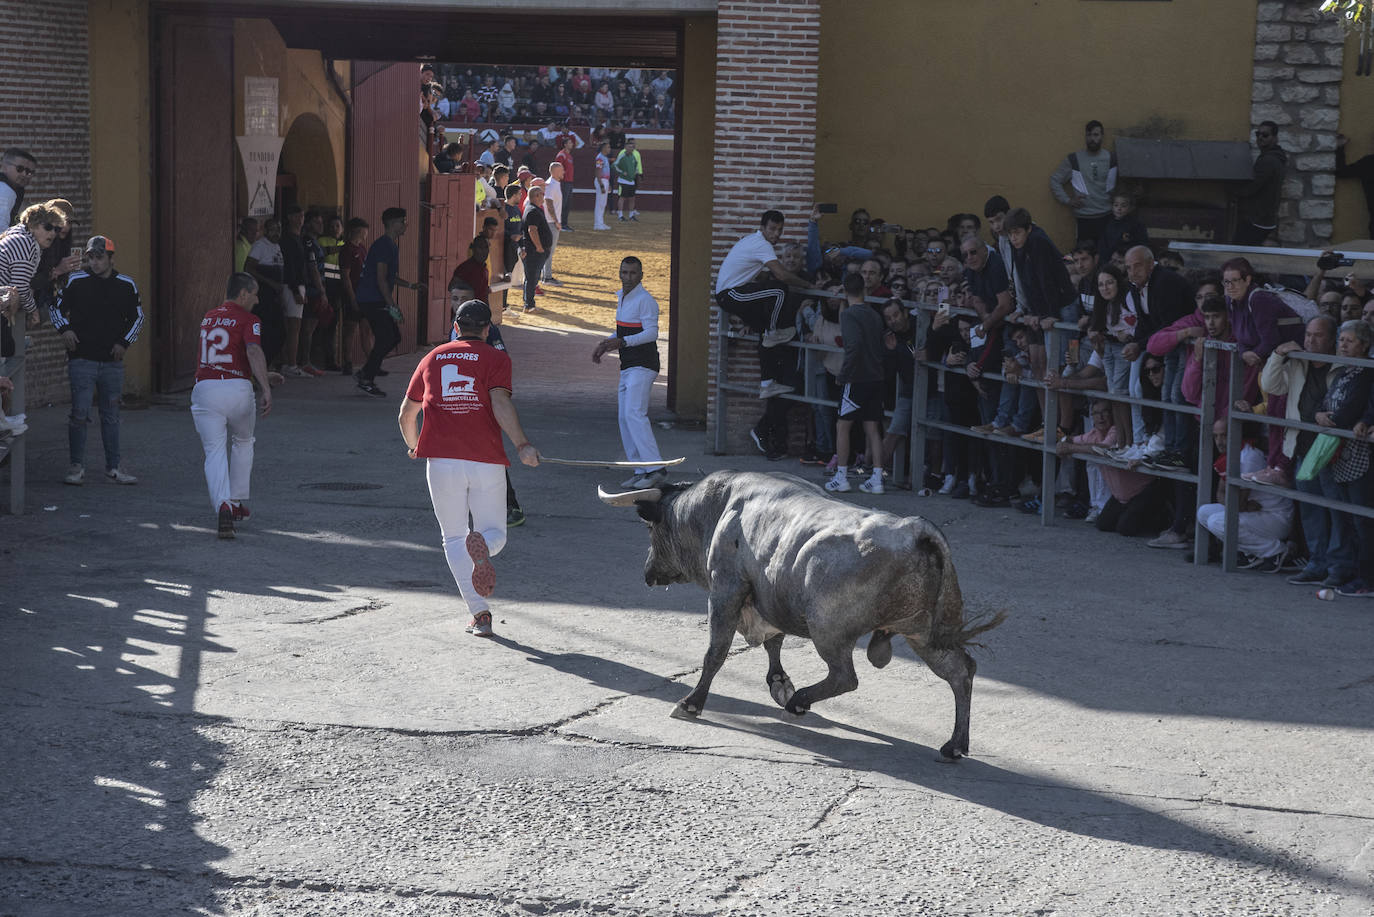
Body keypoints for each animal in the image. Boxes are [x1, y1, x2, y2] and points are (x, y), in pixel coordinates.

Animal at [596, 472, 1005, 758]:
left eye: (651, 527)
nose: (648, 573)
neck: (718, 507)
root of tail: (914, 529)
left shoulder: (726, 589)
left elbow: (716, 652)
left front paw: (692, 703)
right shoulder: (766, 599)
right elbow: (774, 642)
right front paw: (779, 681)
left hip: (829, 629)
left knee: (845, 677)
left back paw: (800, 703)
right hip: (924, 633)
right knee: (960, 671)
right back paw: (955, 744)